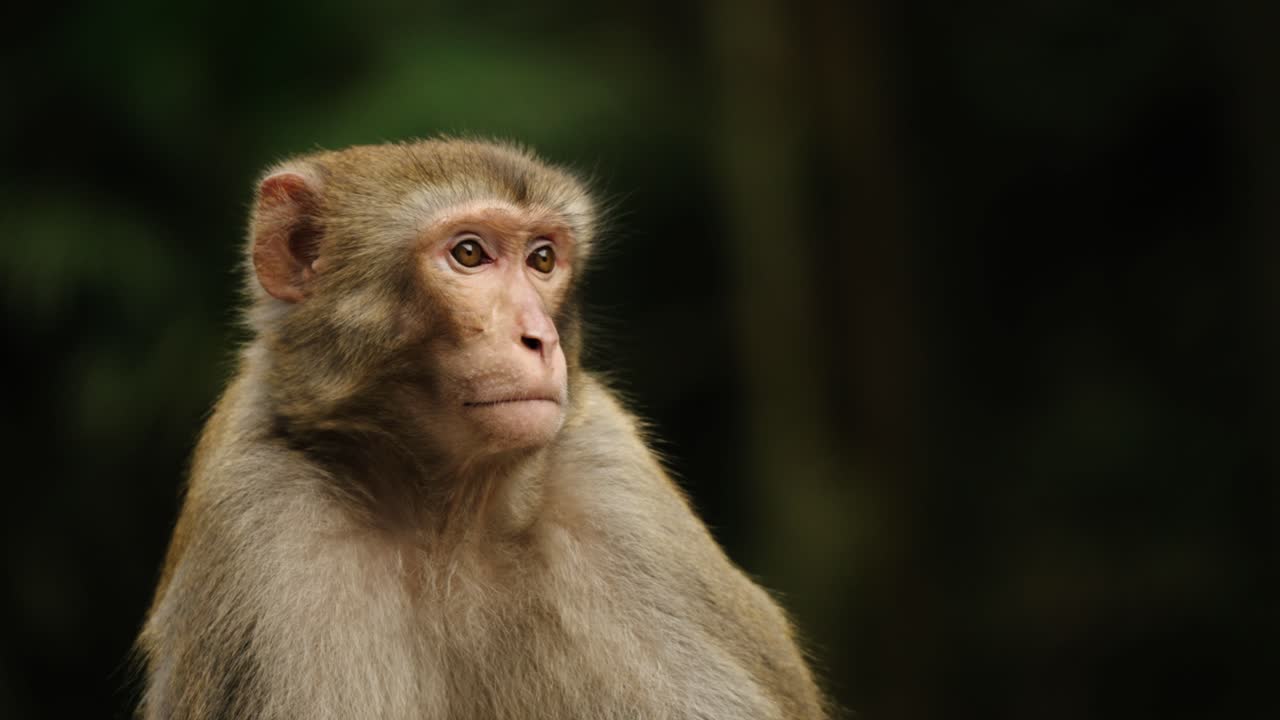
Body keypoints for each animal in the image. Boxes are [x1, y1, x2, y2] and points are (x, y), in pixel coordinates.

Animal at [136, 138, 829, 720]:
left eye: (542, 259)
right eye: (469, 253)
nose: (540, 338)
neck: (447, 521)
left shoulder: (619, 494)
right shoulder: (258, 520)